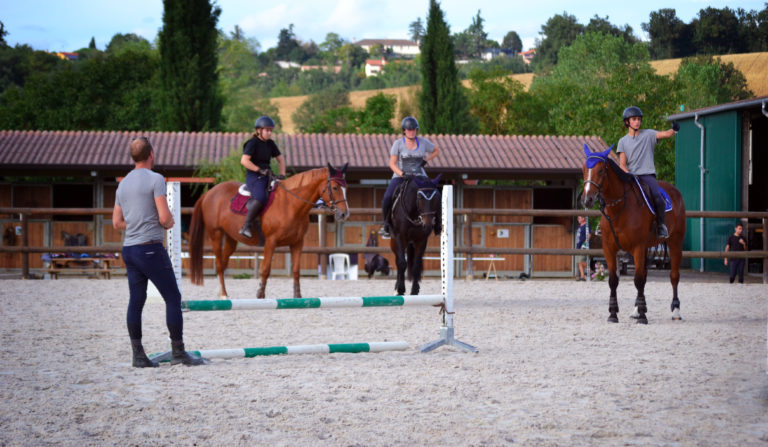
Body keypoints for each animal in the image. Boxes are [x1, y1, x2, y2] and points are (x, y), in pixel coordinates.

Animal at [190, 163, 350, 300]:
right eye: (335, 187)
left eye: (346, 188)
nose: (344, 214)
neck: (290, 204)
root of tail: (209, 193)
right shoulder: (271, 242)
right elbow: (266, 269)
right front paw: (260, 294)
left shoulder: (297, 243)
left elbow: (296, 270)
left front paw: (297, 296)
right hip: (216, 234)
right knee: (218, 263)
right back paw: (223, 294)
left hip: (231, 238)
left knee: (222, 265)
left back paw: (221, 293)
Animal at [584, 147, 684, 326]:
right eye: (584, 169)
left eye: (601, 171)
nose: (587, 199)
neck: (619, 209)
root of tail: (674, 191)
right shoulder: (609, 249)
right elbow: (614, 280)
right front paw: (613, 314)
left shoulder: (638, 247)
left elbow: (638, 280)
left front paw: (643, 317)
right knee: (644, 276)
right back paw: (637, 310)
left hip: (675, 242)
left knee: (674, 276)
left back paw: (676, 311)